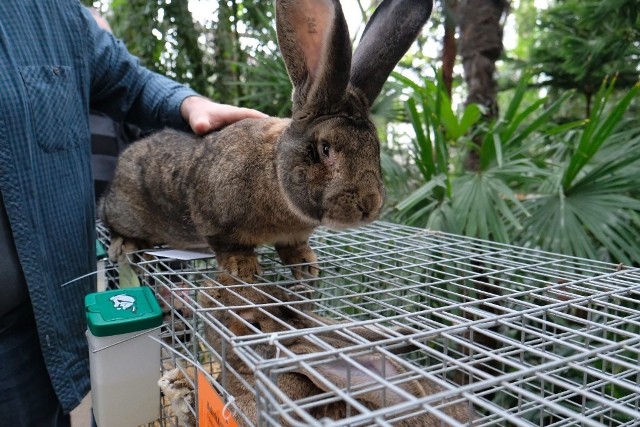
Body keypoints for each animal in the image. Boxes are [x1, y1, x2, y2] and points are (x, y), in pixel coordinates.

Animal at [96, 0, 436, 280]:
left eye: (375, 149)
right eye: (325, 148)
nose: (369, 204)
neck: (273, 173)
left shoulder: (293, 234)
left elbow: (293, 247)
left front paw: (306, 265)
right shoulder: (213, 218)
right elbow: (227, 245)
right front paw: (243, 267)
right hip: (123, 211)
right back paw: (124, 246)